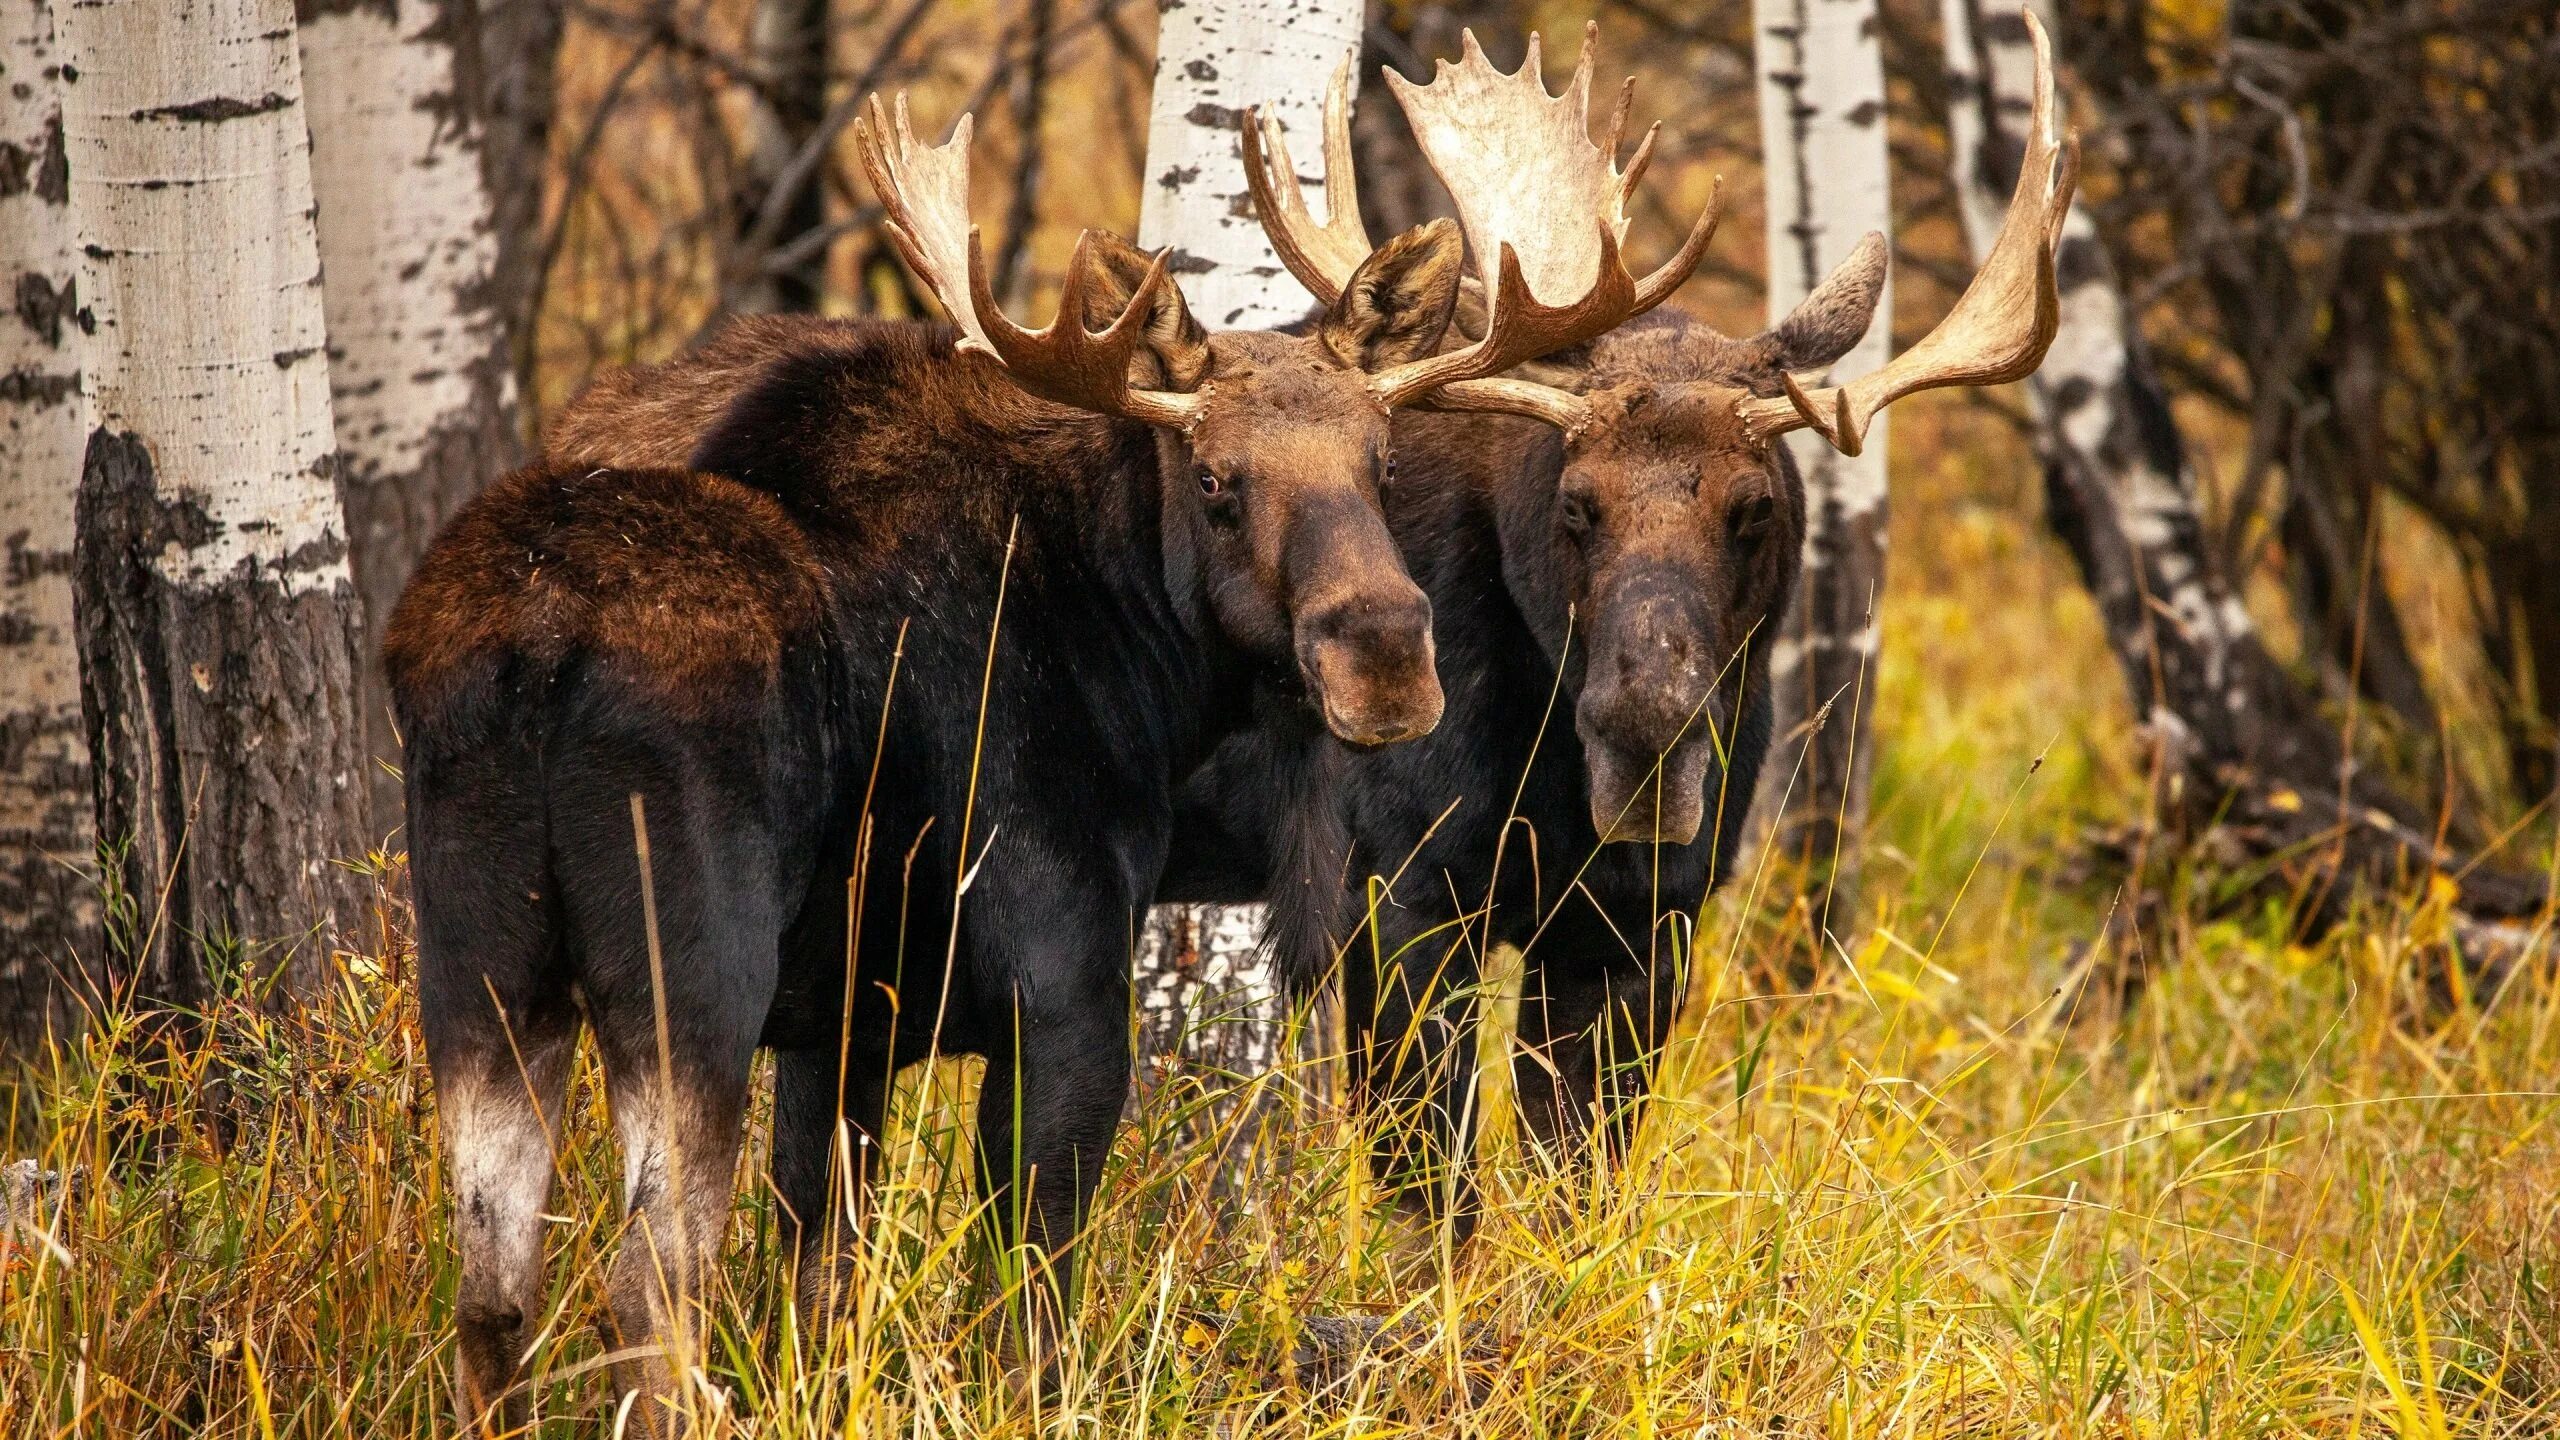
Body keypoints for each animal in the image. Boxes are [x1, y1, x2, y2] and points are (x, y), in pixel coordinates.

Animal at [394, 33, 1720, 1434]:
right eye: (1216, 480)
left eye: (1375, 458)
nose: (1384, 657)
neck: (1131, 657)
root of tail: (538, 648)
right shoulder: (1065, 985)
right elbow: (1027, 1302)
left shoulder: (843, 1024)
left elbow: (822, 1280)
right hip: (687, 967)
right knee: (650, 1287)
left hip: (480, 967)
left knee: (494, 1287)